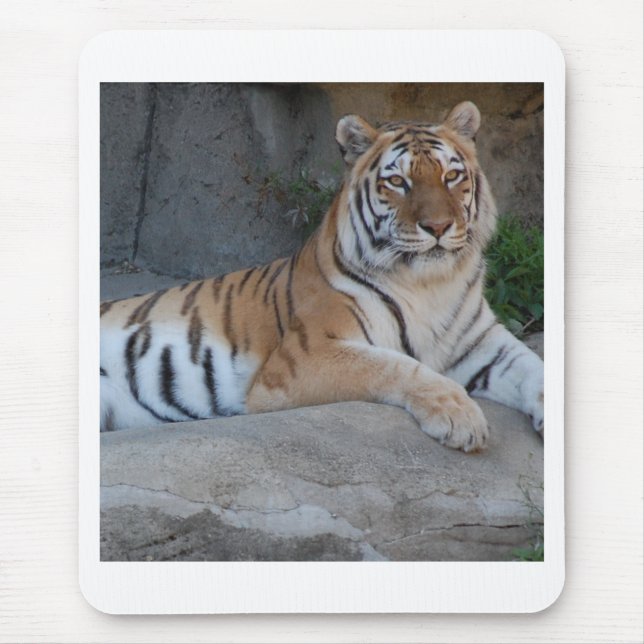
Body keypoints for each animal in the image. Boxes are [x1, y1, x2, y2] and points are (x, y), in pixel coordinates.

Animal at [100, 101, 544, 451]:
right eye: (397, 181)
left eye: (451, 176)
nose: (437, 226)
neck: (431, 285)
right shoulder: (306, 355)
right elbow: (397, 366)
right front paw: (461, 418)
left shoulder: (484, 344)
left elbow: (535, 367)